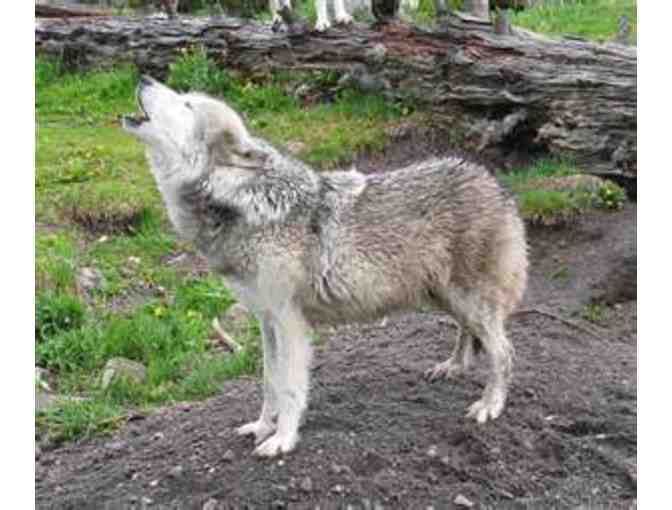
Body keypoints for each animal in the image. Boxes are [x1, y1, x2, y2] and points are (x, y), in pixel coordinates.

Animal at [122, 77, 528, 457]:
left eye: (187, 104)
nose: (143, 78)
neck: (240, 203)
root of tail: (496, 185)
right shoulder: (265, 320)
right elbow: (268, 383)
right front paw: (262, 427)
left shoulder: (289, 322)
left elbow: (289, 388)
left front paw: (282, 440)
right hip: (447, 299)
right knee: (467, 334)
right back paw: (453, 367)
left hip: (468, 300)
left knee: (504, 352)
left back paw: (489, 405)